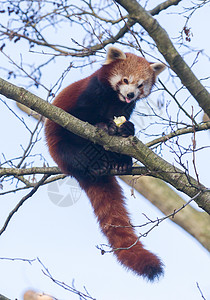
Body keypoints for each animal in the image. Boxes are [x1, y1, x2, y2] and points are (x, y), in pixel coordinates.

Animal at [45, 47, 167, 282]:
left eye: (140, 85)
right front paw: (103, 125)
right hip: (60, 149)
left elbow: (125, 122)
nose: (130, 95)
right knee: (72, 151)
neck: (114, 99)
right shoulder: (88, 94)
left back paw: (120, 163)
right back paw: (91, 163)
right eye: (125, 80)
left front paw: (126, 128)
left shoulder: (124, 108)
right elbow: (80, 116)